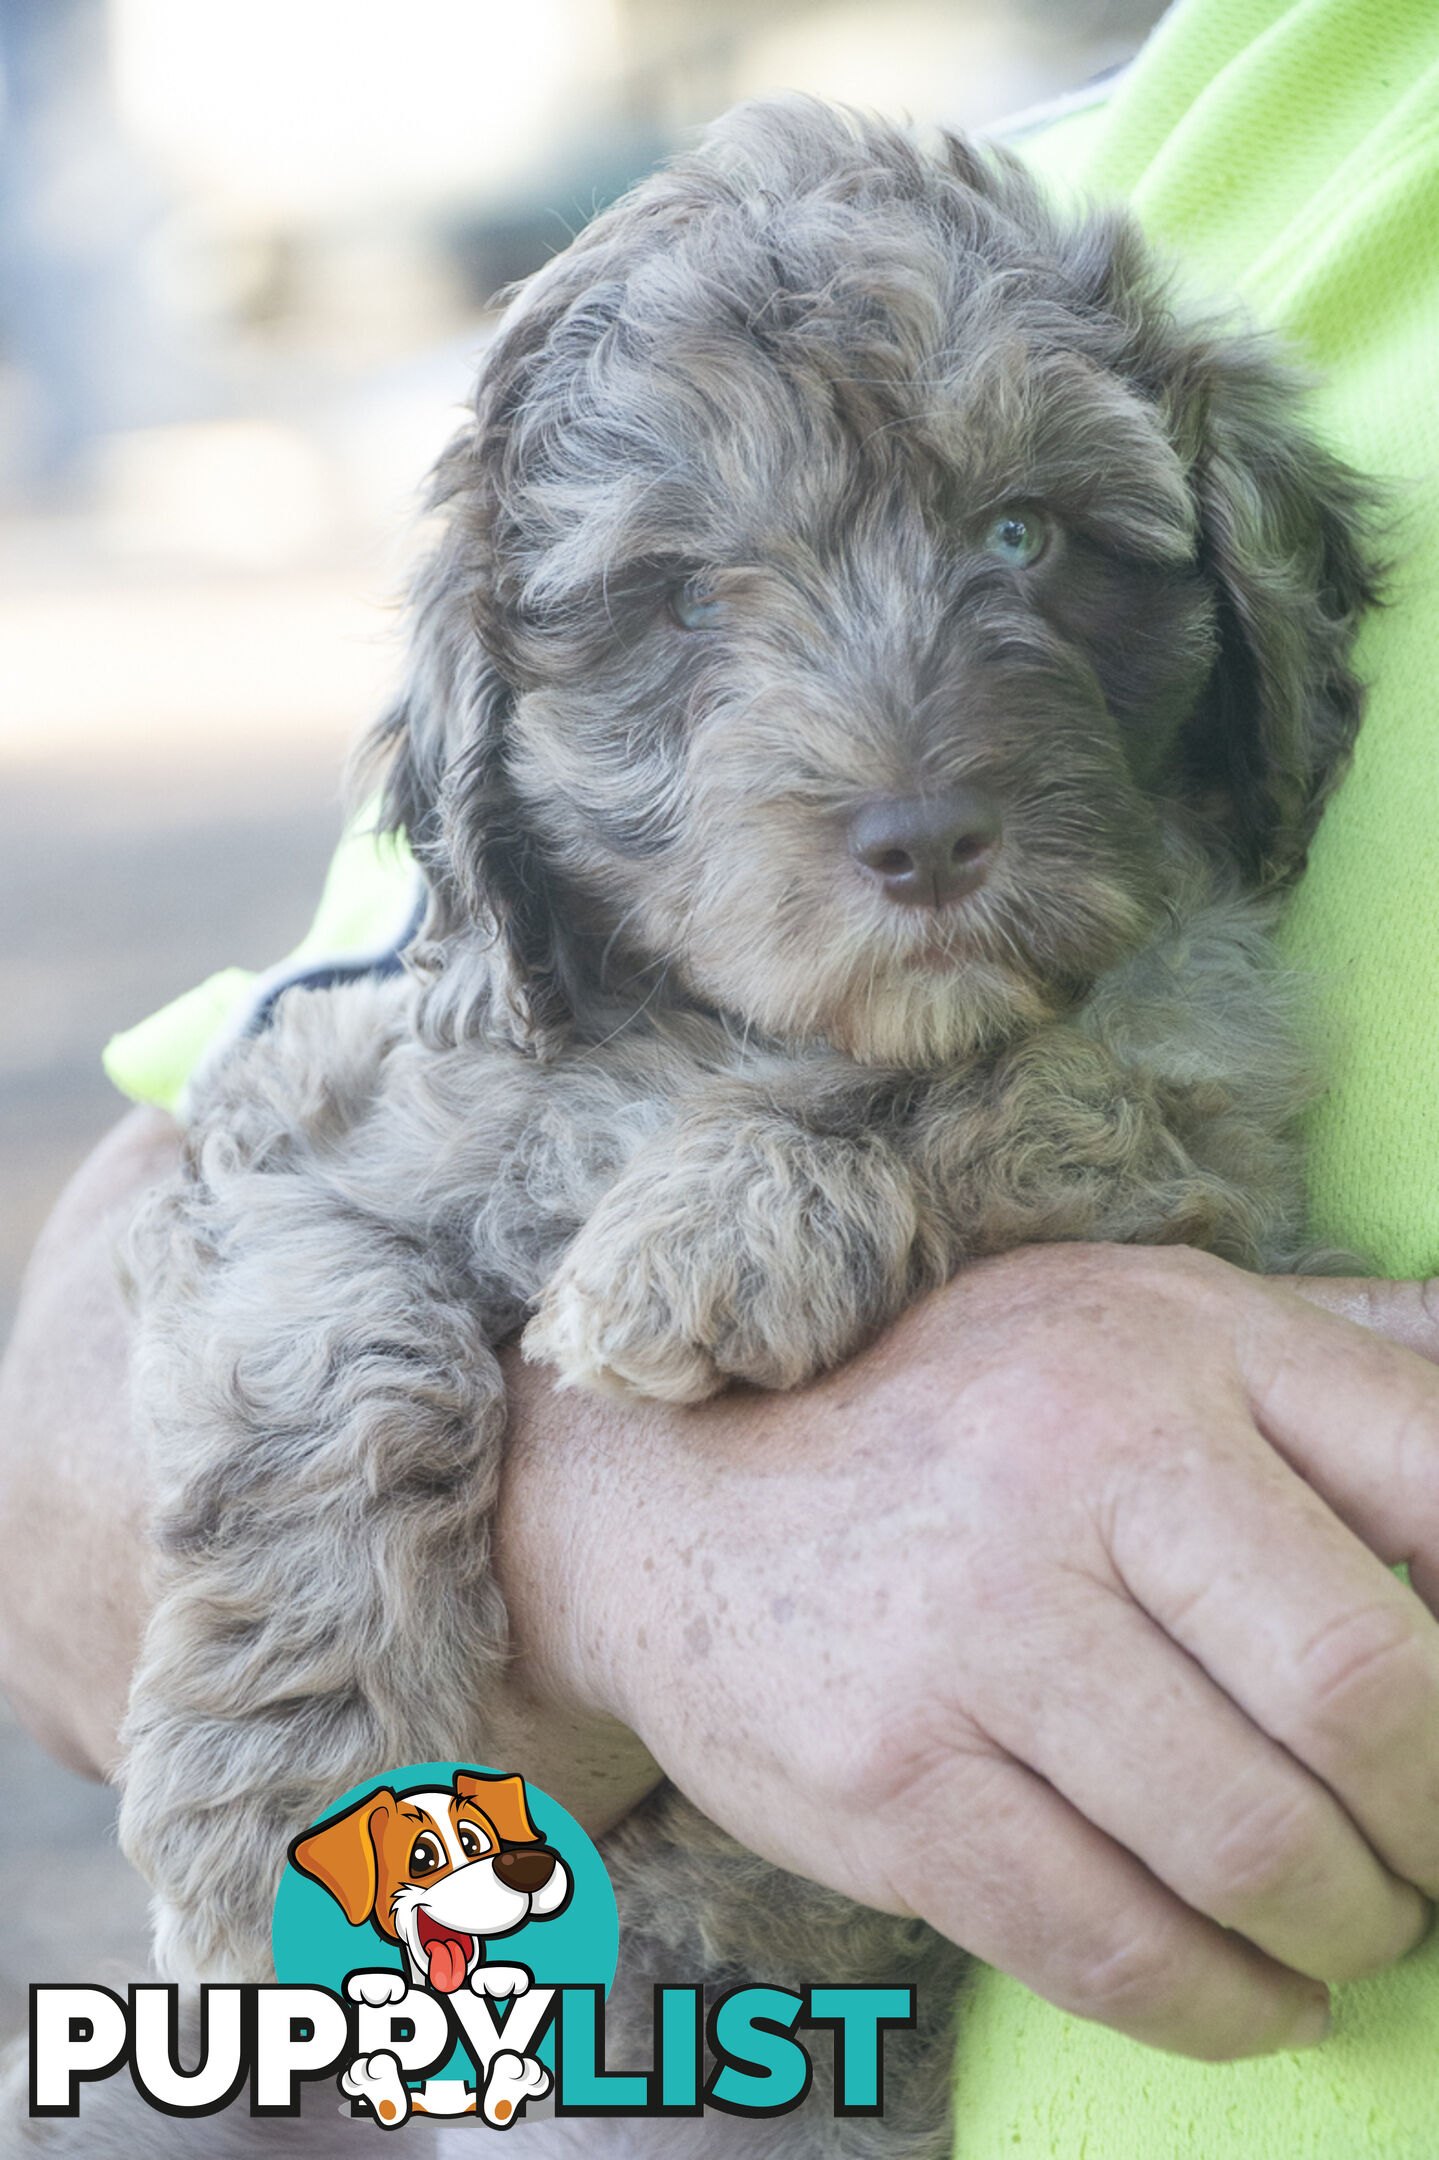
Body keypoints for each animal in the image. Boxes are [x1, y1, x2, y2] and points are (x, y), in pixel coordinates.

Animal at [112, 97, 1365, 2160]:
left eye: (1018, 534)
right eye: (685, 595)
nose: (922, 844)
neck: (704, 1024)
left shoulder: (1195, 1103)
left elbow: (1015, 1080)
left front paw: (710, 1228)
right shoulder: (290, 1133)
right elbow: (329, 1346)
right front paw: (269, 1786)